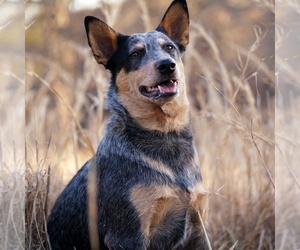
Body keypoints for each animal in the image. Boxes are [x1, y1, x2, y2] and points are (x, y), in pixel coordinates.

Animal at [47, 0, 209, 249]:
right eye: (135, 54)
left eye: (169, 47)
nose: (167, 65)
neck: (164, 135)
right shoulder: (129, 233)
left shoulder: (198, 227)